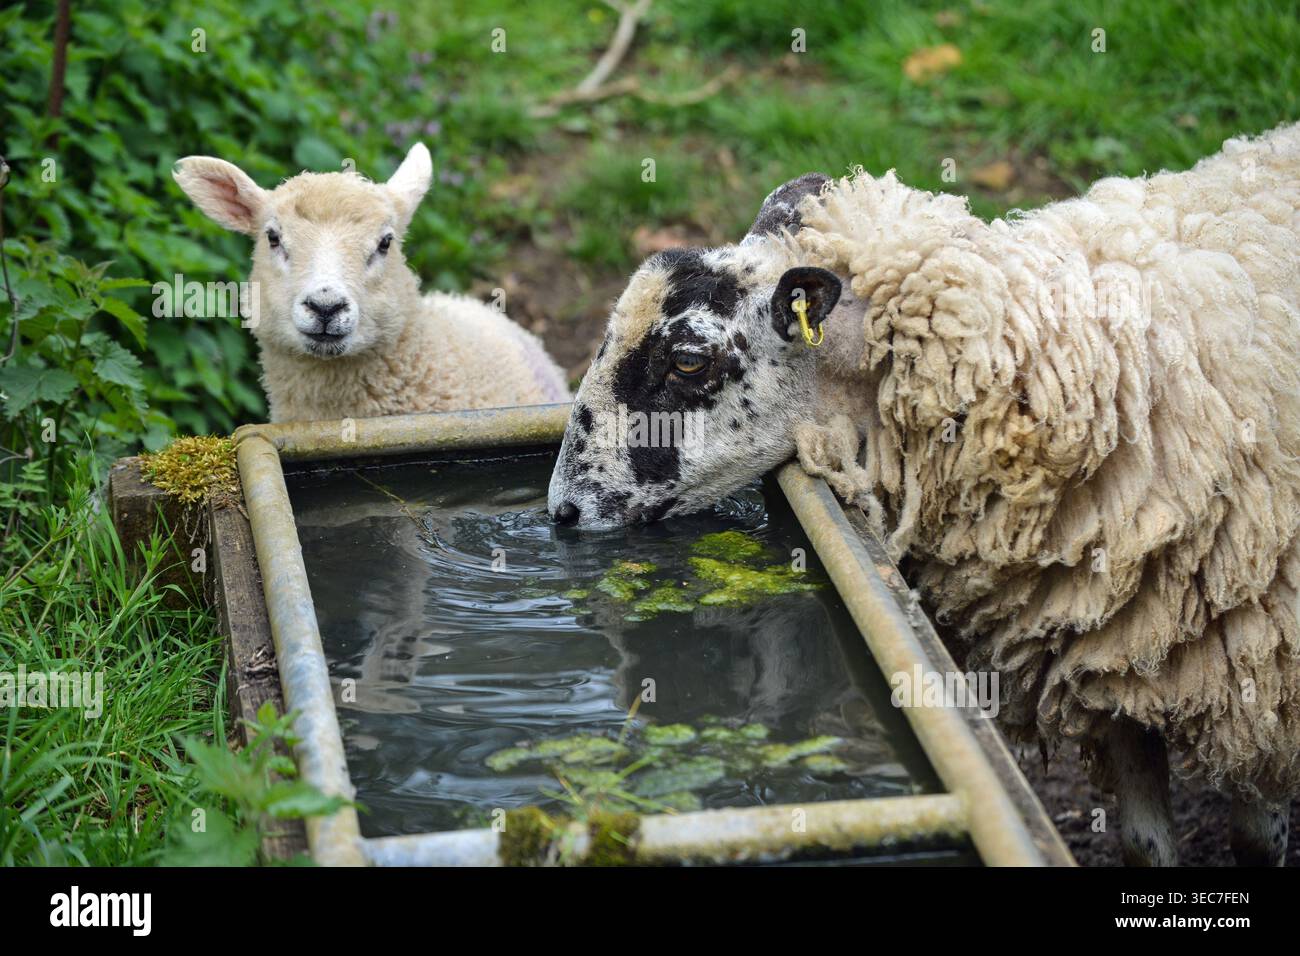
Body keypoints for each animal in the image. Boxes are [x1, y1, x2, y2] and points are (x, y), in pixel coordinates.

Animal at [547, 121, 1300, 865]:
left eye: (687, 360)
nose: (560, 511)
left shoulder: (1258, 675)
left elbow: (1257, 835)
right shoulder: (1115, 656)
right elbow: (1146, 843)